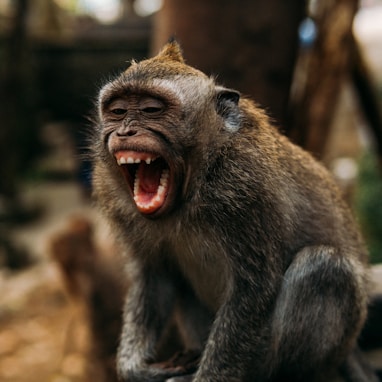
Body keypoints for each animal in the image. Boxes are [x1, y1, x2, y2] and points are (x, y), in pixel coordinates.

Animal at [91, 40, 378, 380]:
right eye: (118, 111)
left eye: (152, 110)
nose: (125, 132)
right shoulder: (113, 196)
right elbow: (154, 275)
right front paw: (135, 368)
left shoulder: (246, 187)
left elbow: (252, 290)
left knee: (324, 267)